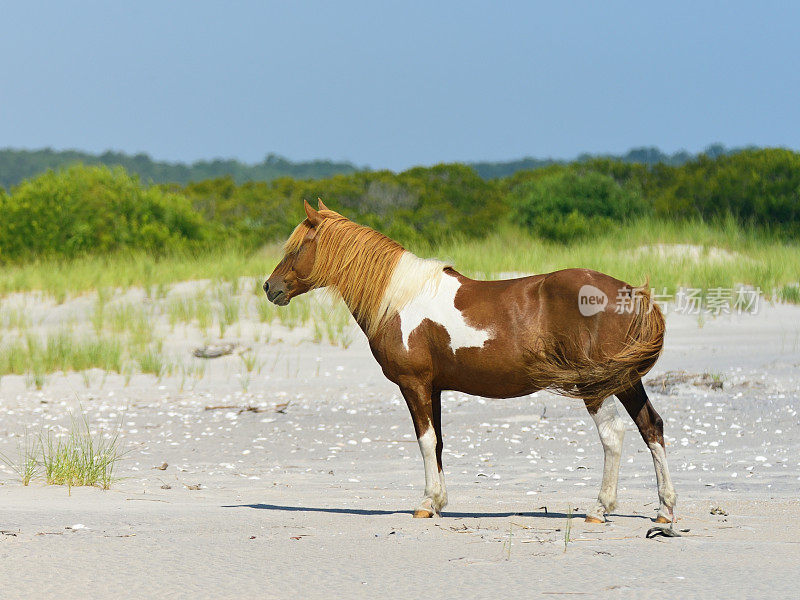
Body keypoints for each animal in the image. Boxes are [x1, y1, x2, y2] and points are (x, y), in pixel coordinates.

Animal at [266, 202, 680, 524]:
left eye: (298, 247)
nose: (271, 288)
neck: (400, 299)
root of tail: (631, 294)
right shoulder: (432, 388)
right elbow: (438, 443)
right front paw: (438, 503)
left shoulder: (413, 384)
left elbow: (425, 440)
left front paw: (425, 504)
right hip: (624, 380)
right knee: (651, 427)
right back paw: (664, 510)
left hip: (595, 385)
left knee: (613, 435)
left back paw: (599, 508)